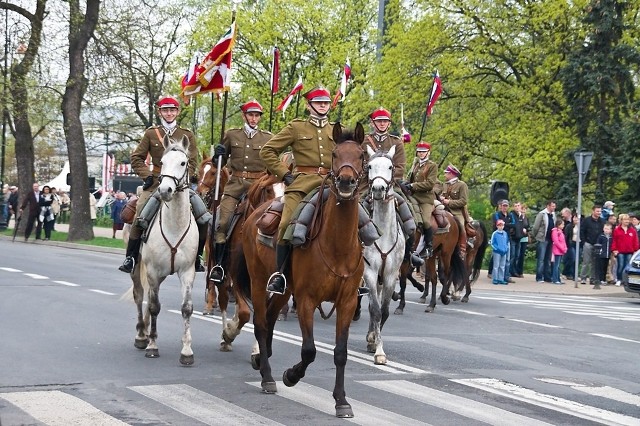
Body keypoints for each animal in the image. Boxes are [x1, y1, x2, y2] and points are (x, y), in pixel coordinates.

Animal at [129, 135, 199, 364]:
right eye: (162, 161)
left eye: (183, 163)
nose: (165, 191)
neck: (174, 225)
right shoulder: (151, 270)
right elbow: (154, 306)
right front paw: (152, 345)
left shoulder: (187, 271)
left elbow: (186, 308)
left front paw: (187, 351)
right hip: (139, 269)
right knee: (141, 296)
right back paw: (142, 335)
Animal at [239, 121, 364, 418]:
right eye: (335, 154)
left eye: (362, 155)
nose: (345, 182)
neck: (338, 245)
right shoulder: (307, 299)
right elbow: (309, 350)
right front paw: (291, 375)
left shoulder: (347, 302)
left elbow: (340, 352)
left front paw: (341, 400)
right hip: (259, 280)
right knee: (261, 324)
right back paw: (267, 377)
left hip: (285, 290)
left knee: (270, 317)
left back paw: (261, 359)